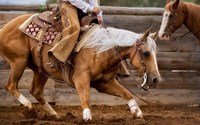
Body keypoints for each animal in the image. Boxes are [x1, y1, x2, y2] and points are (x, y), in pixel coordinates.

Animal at [0, 13, 161, 121]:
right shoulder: (81, 78)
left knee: (36, 91)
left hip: (41, 70)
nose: (155, 79)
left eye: (156, 52)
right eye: (146, 53)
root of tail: (4, 27)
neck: (101, 49)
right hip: (19, 61)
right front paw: (87, 117)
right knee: (11, 85)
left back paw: (55, 115)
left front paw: (137, 113)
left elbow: (127, 94)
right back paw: (28, 106)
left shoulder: (104, 82)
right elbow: (86, 97)